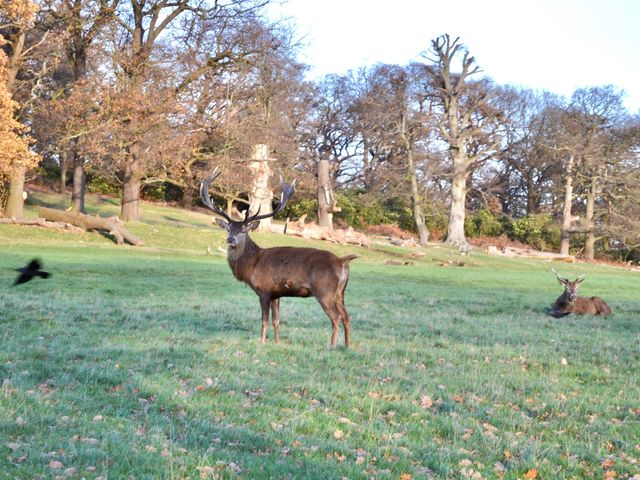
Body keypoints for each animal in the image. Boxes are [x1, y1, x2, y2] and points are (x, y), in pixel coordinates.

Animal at [200, 171, 358, 346]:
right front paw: (277, 342)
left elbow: (264, 320)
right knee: (346, 317)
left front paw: (261, 342)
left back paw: (331, 346)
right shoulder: (276, 294)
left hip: (324, 290)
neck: (251, 265)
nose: (230, 239)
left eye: (243, 230)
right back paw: (347, 346)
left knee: (335, 318)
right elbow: (276, 320)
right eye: (228, 229)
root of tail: (342, 261)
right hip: (340, 293)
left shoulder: (264, 290)